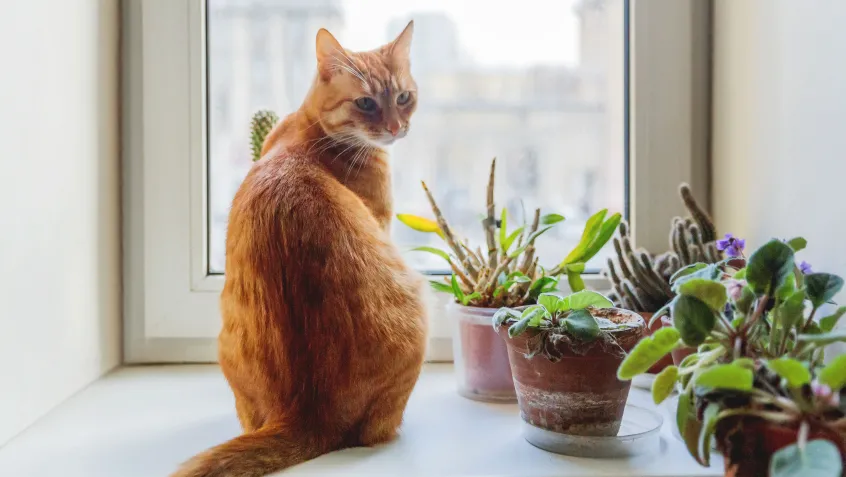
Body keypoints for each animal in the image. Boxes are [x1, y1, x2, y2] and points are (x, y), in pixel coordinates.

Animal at [172, 20, 428, 474]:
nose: (397, 128)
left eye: (402, 97)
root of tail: (310, 413)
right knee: (376, 433)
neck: (314, 132)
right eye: (366, 103)